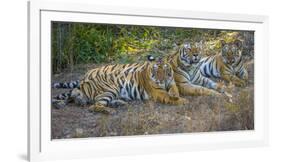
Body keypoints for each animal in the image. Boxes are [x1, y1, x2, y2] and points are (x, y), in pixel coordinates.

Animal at [52, 58, 188, 114]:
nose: (160, 80)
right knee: (93, 106)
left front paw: (176, 95)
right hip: (110, 89)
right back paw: (110, 110)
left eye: (164, 70)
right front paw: (182, 101)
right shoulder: (158, 92)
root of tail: (85, 80)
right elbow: (168, 97)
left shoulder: (171, 82)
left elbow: (174, 90)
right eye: (156, 70)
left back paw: (120, 103)